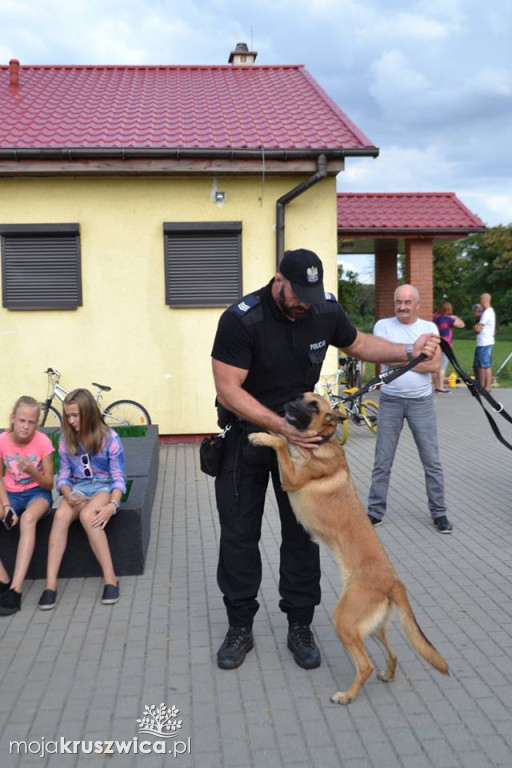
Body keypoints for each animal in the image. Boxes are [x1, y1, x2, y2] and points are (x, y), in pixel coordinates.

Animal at [248, 392, 448, 704]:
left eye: (313, 405)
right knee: (392, 654)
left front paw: (262, 436)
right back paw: (387, 676)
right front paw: (267, 431)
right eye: (300, 398)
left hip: (345, 621)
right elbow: (283, 435)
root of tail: (394, 582)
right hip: (371, 628)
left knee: (365, 665)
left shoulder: (290, 480)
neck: (319, 444)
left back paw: (346, 696)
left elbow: (281, 443)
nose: (288, 404)